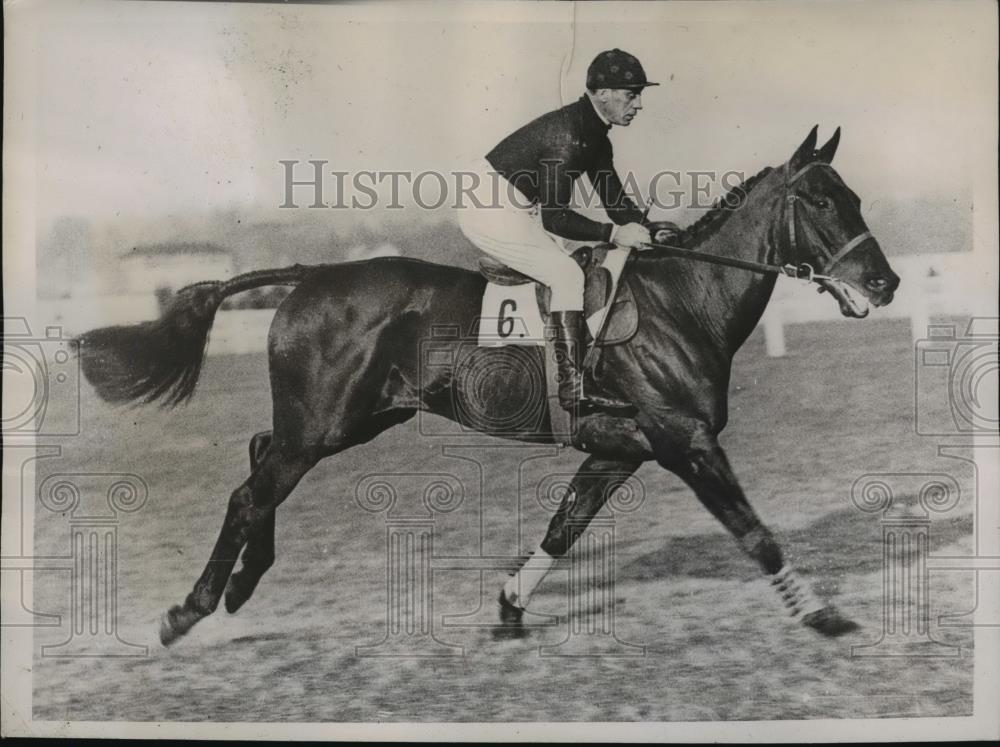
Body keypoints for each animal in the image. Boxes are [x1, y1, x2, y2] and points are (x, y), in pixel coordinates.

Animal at [78, 125, 904, 644]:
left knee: (258, 454)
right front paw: (823, 614)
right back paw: (189, 609)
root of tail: (311, 275)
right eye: (822, 200)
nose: (886, 283)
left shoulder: (624, 446)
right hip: (325, 422)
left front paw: (509, 607)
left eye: (856, 197)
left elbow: (564, 527)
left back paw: (243, 584)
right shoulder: (687, 441)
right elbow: (754, 531)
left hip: (352, 417)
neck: (684, 301)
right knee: (251, 491)